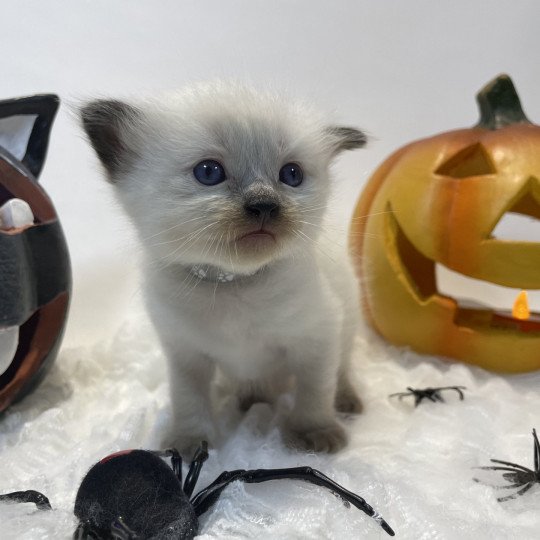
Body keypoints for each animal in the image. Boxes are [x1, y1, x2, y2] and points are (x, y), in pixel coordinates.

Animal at [81, 83, 368, 456]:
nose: (264, 205)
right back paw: (249, 399)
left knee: (342, 368)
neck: (232, 283)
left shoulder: (318, 337)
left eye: (291, 175)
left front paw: (314, 433)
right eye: (209, 172)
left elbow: (315, 391)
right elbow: (188, 399)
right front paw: (189, 442)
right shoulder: (185, 353)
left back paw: (345, 401)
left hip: (346, 322)